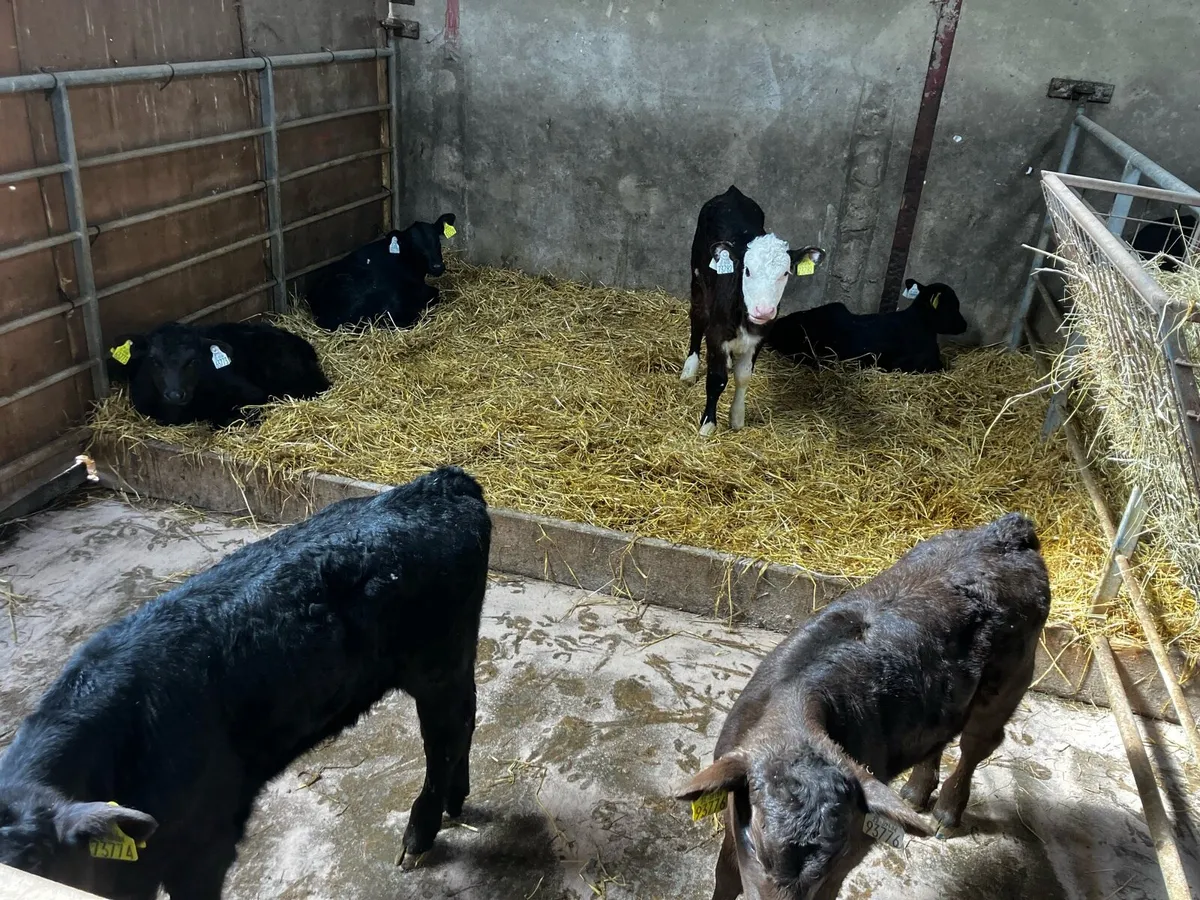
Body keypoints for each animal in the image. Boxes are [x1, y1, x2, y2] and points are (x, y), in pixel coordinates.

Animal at [0, 466, 491, 900]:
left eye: (37, 862)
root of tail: (440, 483)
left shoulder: (205, 840)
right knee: (466, 718)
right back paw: (456, 801)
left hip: (437, 662)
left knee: (444, 737)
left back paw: (419, 836)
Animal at [676, 512, 1051, 900]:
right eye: (759, 847)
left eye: (834, 857)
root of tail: (1006, 531)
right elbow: (725, 877)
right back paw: (916, 793)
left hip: (1009, 683)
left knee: (976, 745)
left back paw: (947, 812)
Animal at [681, 186, 825, 435]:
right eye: (747, 270)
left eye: (785, 273)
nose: (764, 310)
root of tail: (732, 193)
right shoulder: (716, 333)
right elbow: (716, 378)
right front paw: (707, 424)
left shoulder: (760, 336)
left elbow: (744, 376)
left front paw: (737, 417)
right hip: (697, 278)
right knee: (697, 318)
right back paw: (689, 369)